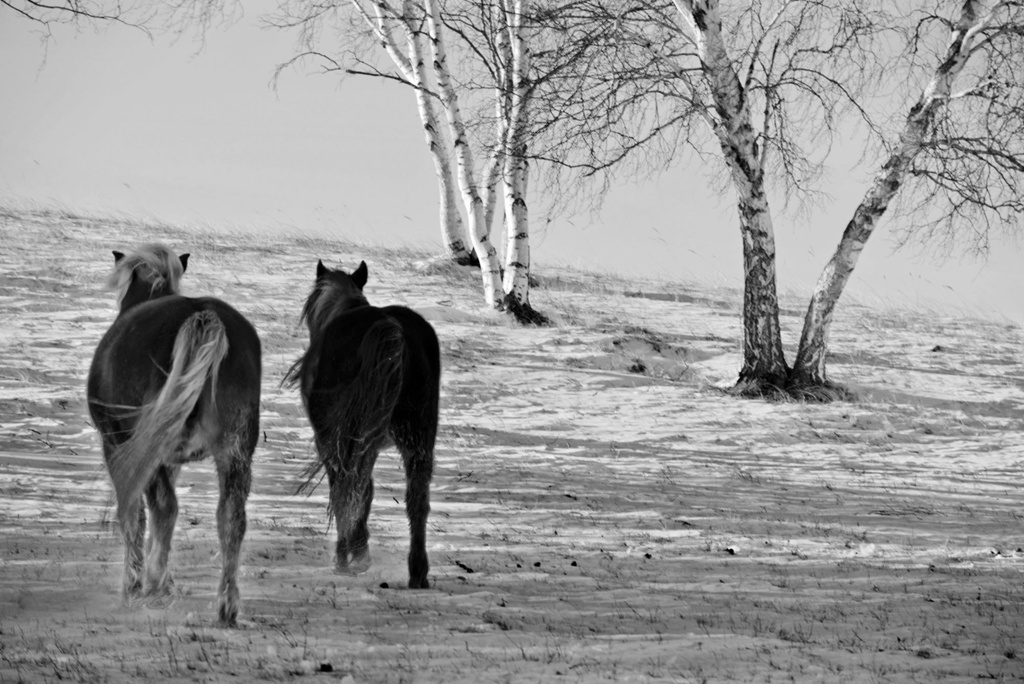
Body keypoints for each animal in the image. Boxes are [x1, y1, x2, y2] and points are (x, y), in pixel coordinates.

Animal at [87, 245, 260, 626]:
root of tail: (204, 316)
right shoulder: (172, 460)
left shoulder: (119, 446)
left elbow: (139, 513)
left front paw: (140, 582)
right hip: (235, 450)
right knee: (231, 517)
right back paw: (226, 605)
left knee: (164, 508)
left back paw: (147, 584)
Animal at [286, 259, 438, 589]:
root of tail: (391, 328)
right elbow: (366, 492)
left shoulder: (337, 442)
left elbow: (348, 491)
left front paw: (353, 554)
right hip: (418, 439)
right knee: (417, 499)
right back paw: (417, 571)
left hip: (347, 438)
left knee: (346, 487)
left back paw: (348, 556)